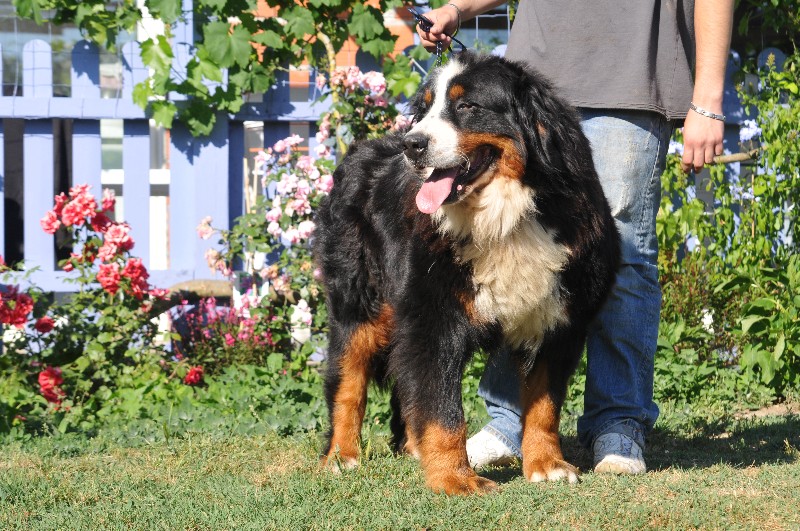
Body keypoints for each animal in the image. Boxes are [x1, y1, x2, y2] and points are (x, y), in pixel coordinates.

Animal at [312, 51, 620, 494]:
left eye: (467, 106)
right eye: (424, 110)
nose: (412, 144)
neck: (505, 220)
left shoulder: (557, 322)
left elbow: (544, 405)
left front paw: (546, 464)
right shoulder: (433, 317)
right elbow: (443, 408)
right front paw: (456, 479)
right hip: (360, 304)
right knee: (348, 382)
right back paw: (341, 456)